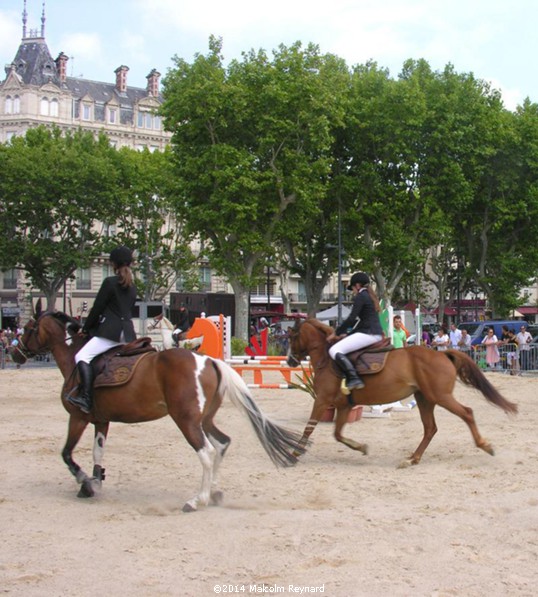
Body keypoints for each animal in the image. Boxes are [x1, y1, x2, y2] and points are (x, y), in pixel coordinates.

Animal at [11, 310, 306, 510]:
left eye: (28, 328)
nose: (15, 354)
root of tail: (208, 361)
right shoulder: (101, 420)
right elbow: (97, 451)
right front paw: (95, 480)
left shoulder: (78, 417)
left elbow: (67, 453)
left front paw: (85, 481)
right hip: (204, 419)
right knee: (222, 444)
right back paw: (213, 493)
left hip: (186, 420)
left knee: (207, 452)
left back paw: (196, 500)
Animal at [284, 316, 516, 466]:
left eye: (292, 337)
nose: (290, 361)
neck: (326, 357)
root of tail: (442, 354)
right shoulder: (343, 406)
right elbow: (337, 434)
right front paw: (361, 447)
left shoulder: (322, 400)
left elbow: (309, 428)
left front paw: (294, 452)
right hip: (424, 399)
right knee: (430, 428)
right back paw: (413, 458)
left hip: (440, 396)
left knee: (466, 413)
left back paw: (484, 445)